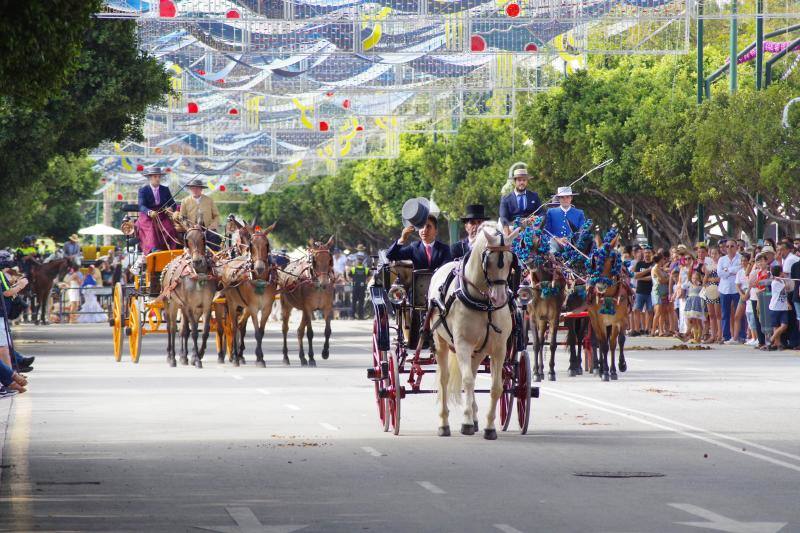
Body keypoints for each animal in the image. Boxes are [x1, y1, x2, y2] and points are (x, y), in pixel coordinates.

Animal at [162, 223, 219, 366]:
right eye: (187, 240)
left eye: (203, 238)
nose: (197, 261)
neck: (198, 276)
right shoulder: (188, 305)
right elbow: (193, 332)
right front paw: (197, 360)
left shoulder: (206, 305)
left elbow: (204, 331)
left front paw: (197, 354)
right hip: (170, 303)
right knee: (171, 328)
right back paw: (171, 357)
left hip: (188, 308)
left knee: (183, 329)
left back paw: (184, 356)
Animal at [222, 220, 278, 366]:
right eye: (252, 245)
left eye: (267, 244)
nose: (259, 268)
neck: (260, 280)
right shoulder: (253, 307)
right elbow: (256, 332)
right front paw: (259, 359)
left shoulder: (267, 308)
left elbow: (261, 332)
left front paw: (260, 357)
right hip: (231, 303)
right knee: (234, 327)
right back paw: (235, 357)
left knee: (240, 325)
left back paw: (239, 355)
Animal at [278, 237, 334, 366]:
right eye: (314, 260)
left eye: (329, 259)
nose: (324, 283)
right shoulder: (308, 308)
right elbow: (310, 333)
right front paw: (312, 358)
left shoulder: (327, 307)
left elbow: (327, 331)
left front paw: (325, 352)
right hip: (286, 304)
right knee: (285, 328)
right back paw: (286, 357)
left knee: (300, 331)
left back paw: (302, 358)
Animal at [428, 222, 520, 438]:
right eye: (489, 261)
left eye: (510, 260)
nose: (500, 298)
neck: (484, 304)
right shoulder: (462, 344)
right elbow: (467, 381)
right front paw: (467, 422)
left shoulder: (499, 348)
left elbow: (496, 387)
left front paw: (489, 427)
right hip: (441, 343)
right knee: (445, 380)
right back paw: (444, 423)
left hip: (479, 351)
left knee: (474, 373)